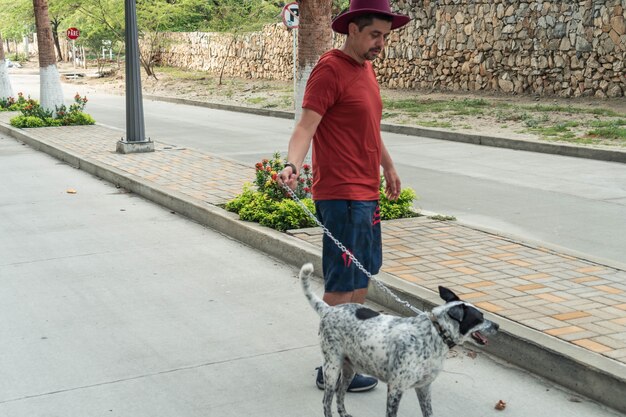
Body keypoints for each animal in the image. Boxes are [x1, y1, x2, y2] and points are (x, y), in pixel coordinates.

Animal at [300, 264, 500, 416]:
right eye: (480, 318)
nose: (498, 326)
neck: (435, 333)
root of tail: (328, 309)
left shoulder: (424, 387)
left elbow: (428, 413)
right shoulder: (396, 388)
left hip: (349, 369)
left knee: (340, 394)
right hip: (332, 367)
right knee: (327, 401)